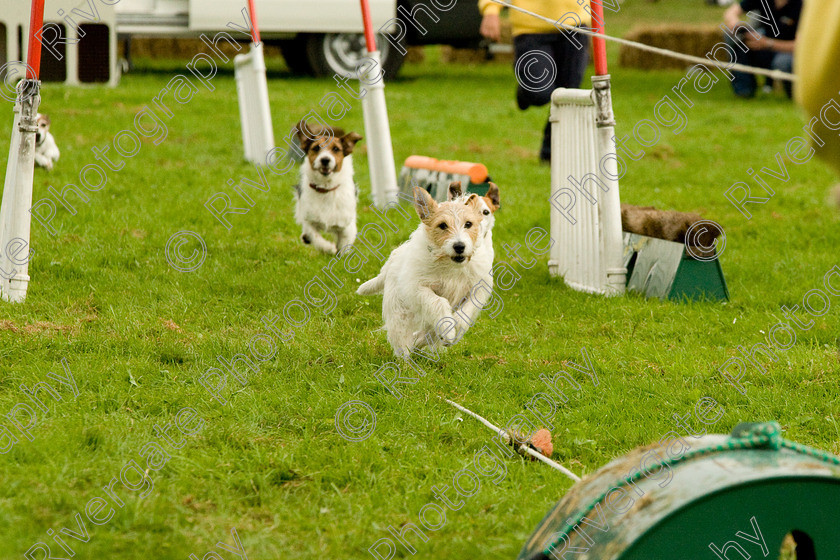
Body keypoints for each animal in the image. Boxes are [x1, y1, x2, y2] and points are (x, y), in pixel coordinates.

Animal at [294, 122, 362, 256]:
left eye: (336, 149)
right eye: (316, 148)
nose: (325, 160)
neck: (326, 189)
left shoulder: (347, 225)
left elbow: (344, 244)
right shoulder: (309, 220)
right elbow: (314, 236)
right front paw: (329, 247)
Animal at [356, 185, 498, 358]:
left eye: (468, 224)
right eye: (442, 225)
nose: (459, 246)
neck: (449, 264)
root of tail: (390, 263)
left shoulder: (478, 288)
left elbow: (465, 313)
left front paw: (455, 330)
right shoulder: (418, 288)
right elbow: (438, 301)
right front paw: (448, 330)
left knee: (426, 334)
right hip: (400, 313)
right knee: (403, 341)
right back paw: (406, 361)